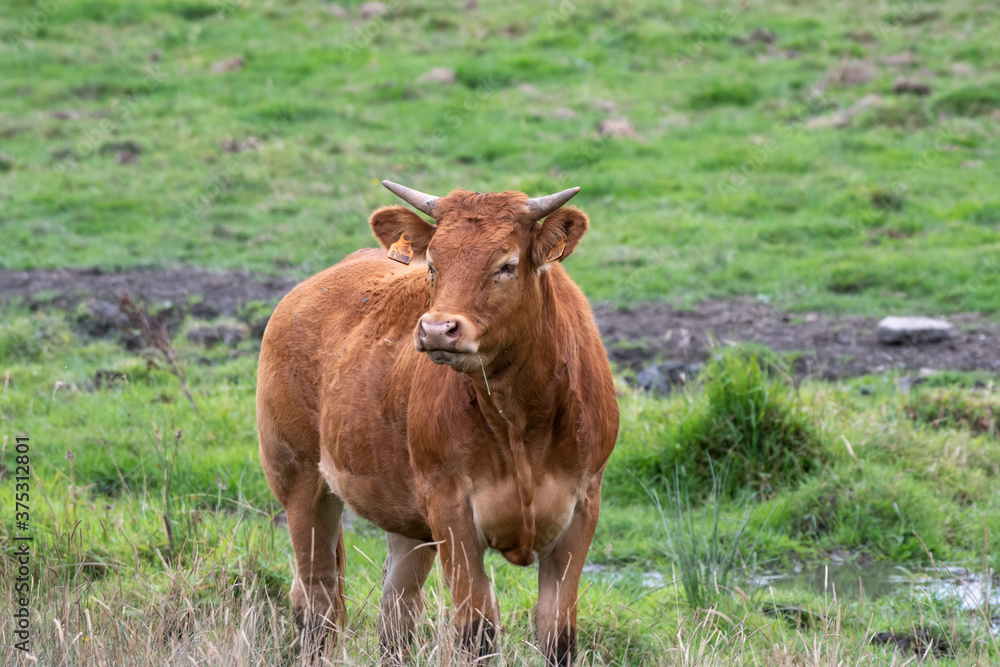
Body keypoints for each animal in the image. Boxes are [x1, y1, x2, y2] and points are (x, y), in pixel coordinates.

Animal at [256, 180, 619, 665]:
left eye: (507, 265)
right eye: (433, 265)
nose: (436, 329)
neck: (521, 423)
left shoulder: (581, 507)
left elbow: (557, 634)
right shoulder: (451, 509)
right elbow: (476, 630)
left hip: (406, 517)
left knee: (397, 607)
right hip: (299, 482)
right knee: (318, 598)